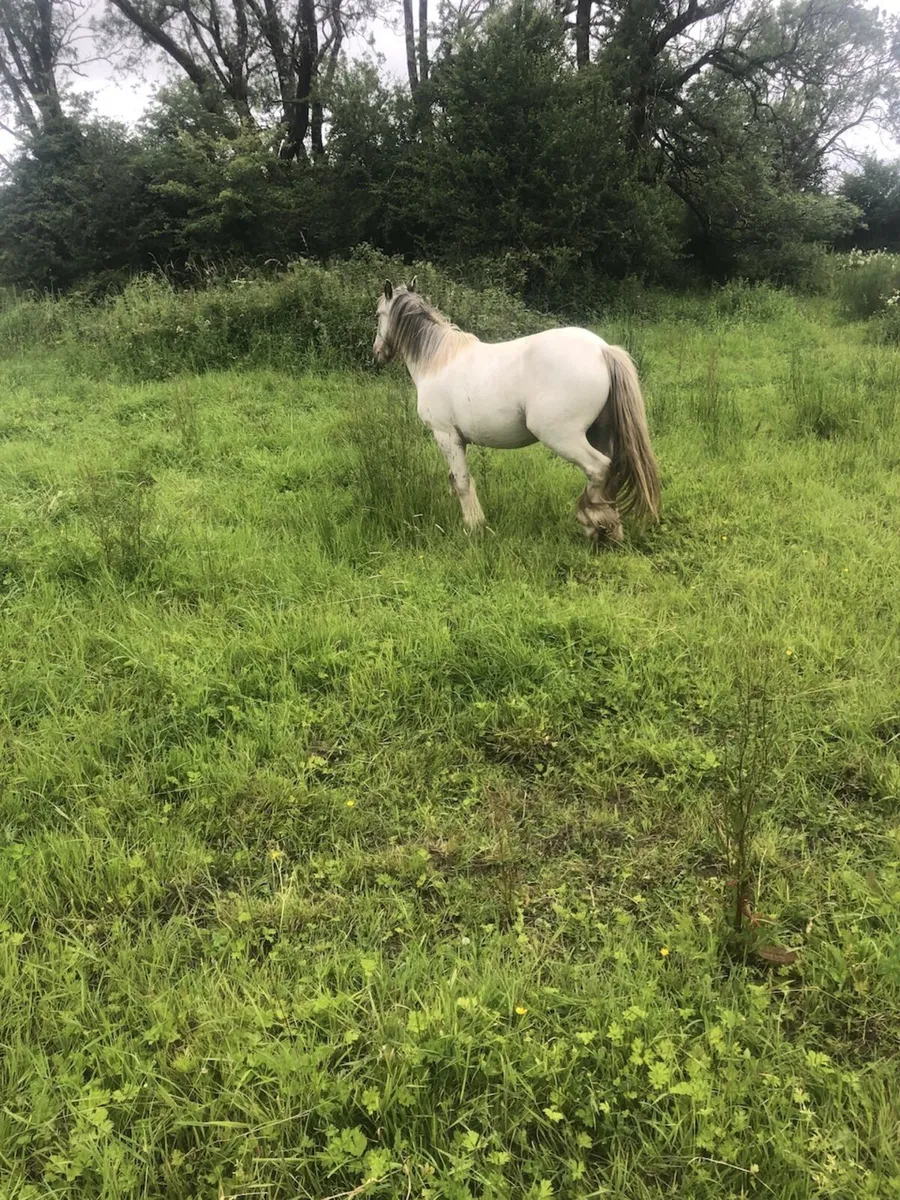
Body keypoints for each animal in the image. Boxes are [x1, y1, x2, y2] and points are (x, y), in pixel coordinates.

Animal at [373, 277, 660, 546]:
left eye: (378, 314)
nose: (377, 353)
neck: (437, 360)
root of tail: (602, 350)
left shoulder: (446, 437)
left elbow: (462, 482)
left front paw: (474, 526)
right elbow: (456, 480)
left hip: (563, 438)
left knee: (598, 469)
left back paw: (592, 526)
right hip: (599, 433)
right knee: (611, 473)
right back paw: (612, 531)